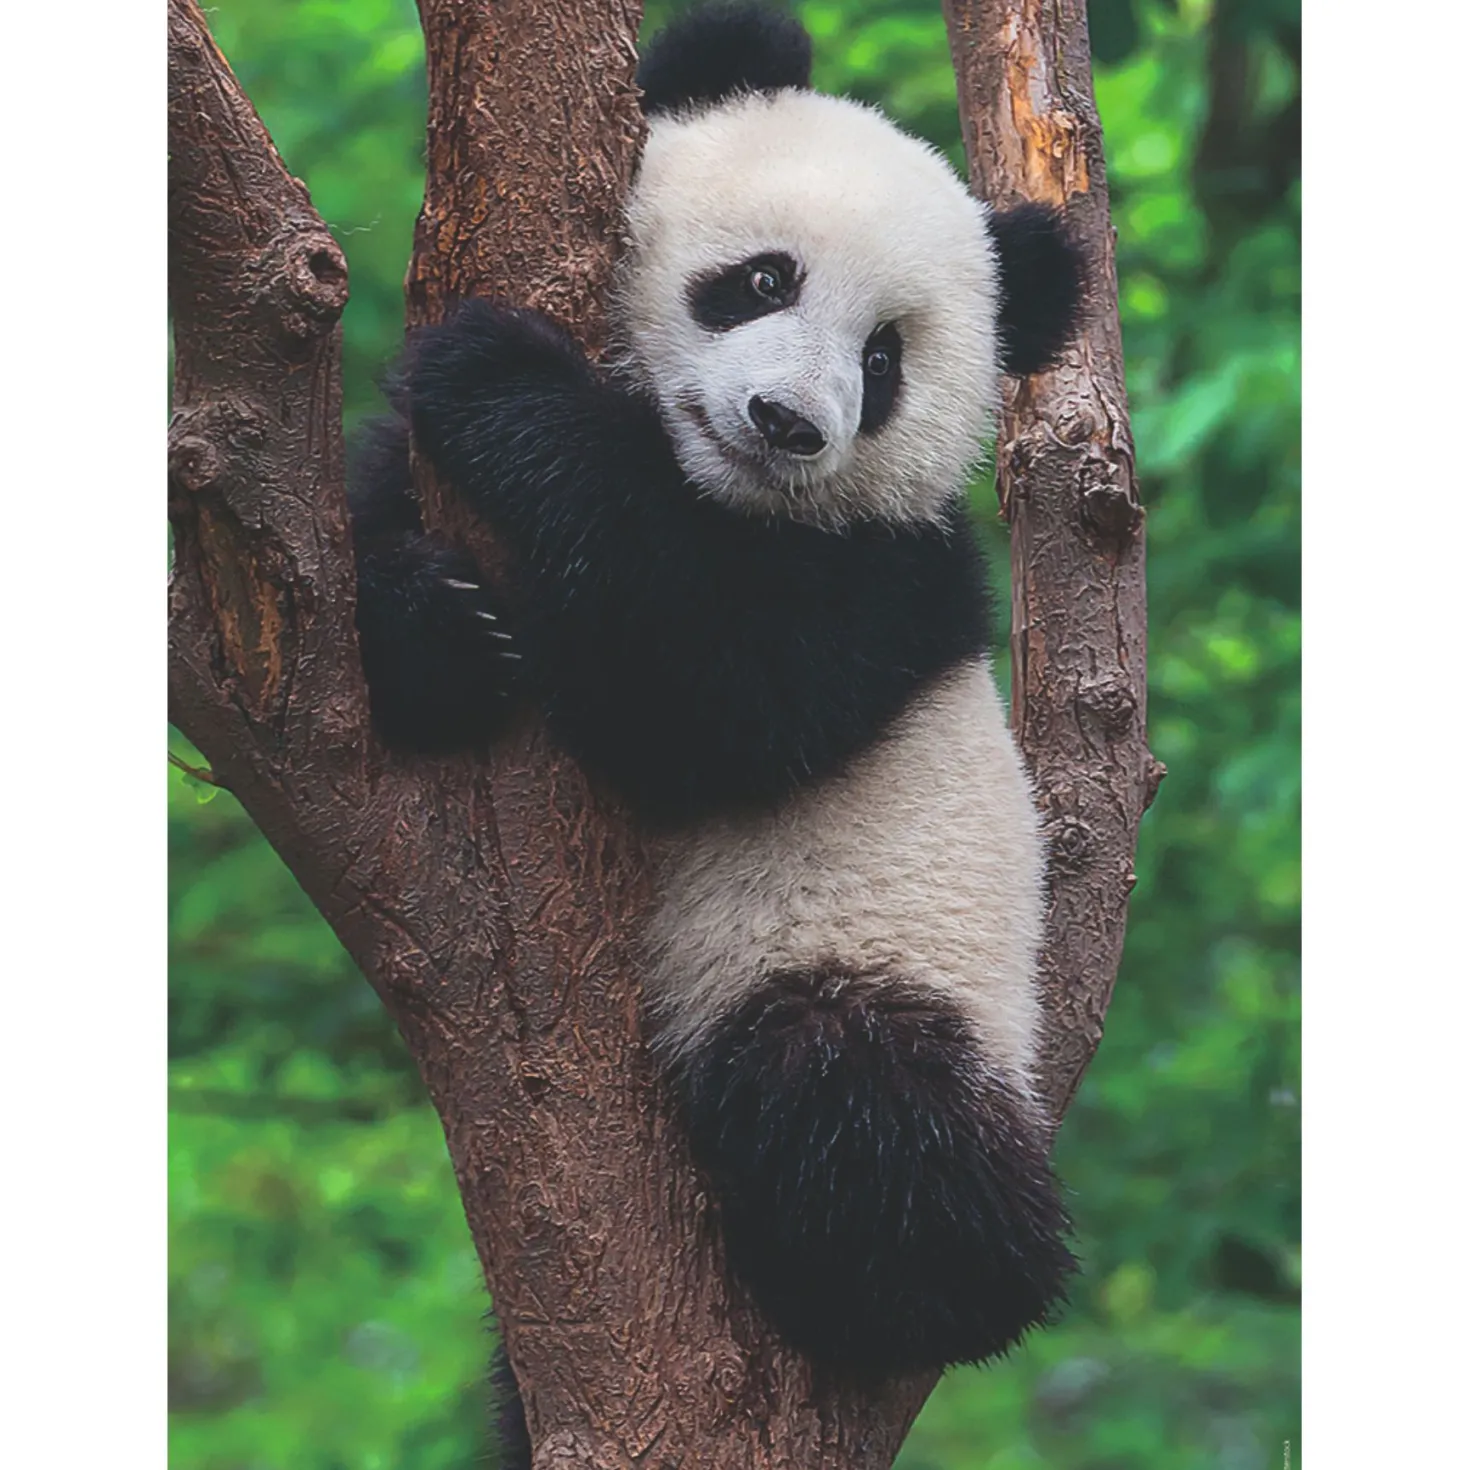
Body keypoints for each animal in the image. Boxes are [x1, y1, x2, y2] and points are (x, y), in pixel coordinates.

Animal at [351, 1, 1085, 1380]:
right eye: (762, 280)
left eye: (884, 359)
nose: (789, 422)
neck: (718, 491)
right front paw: (441, 631)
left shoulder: (886, 581)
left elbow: (713, 697)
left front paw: (498, 379)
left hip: (876, 958)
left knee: (858, 1101)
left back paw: (900, 1284)